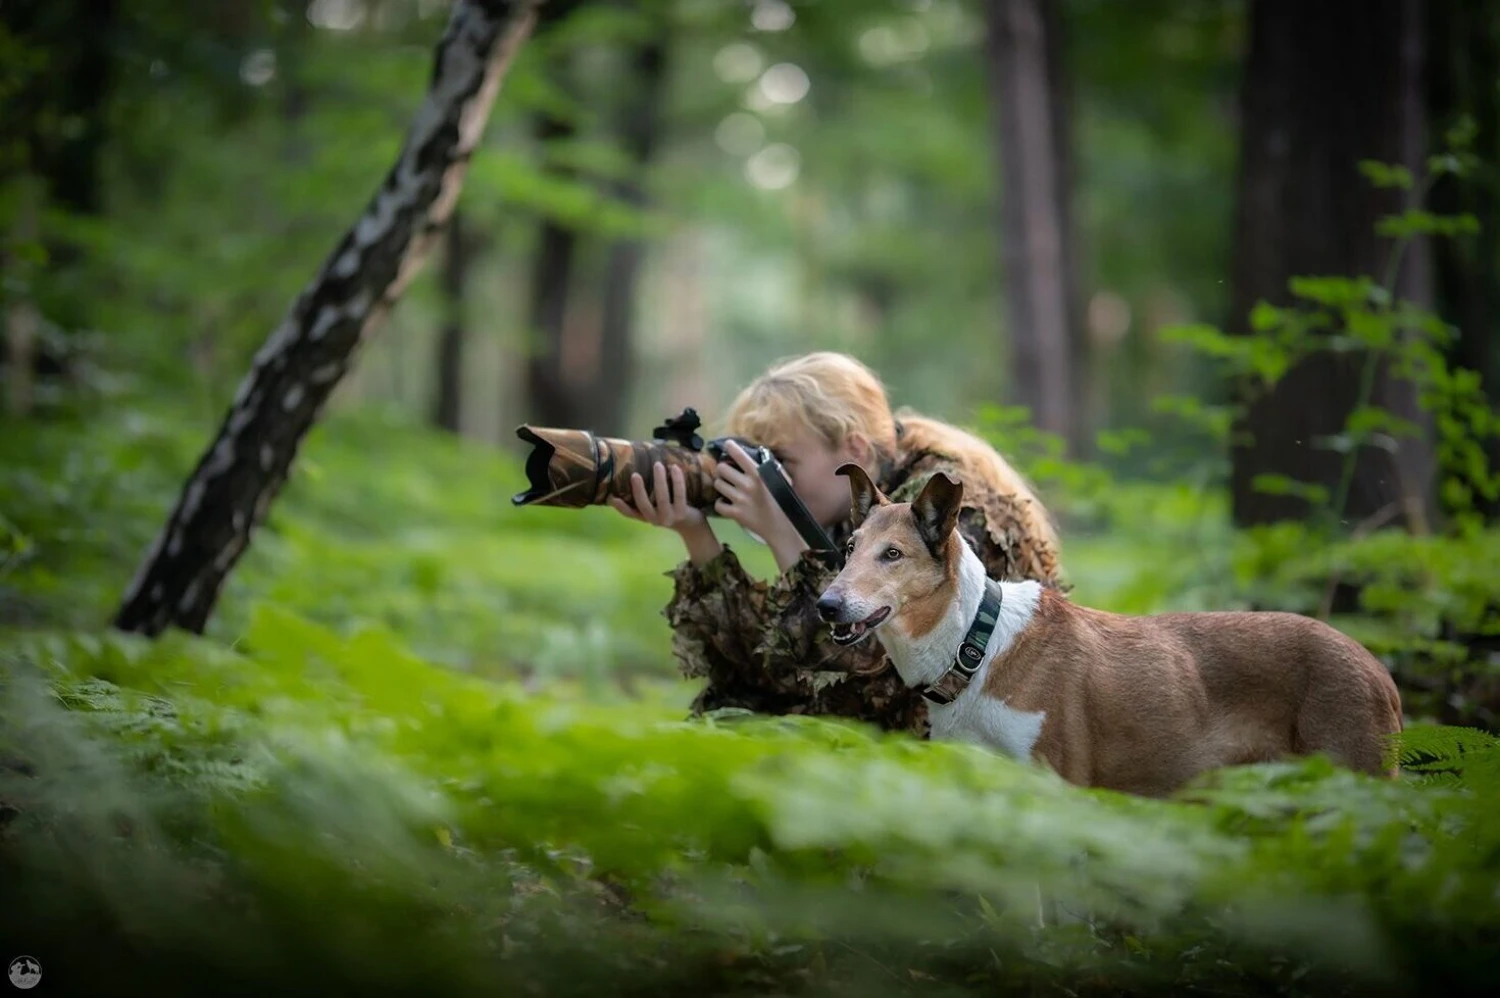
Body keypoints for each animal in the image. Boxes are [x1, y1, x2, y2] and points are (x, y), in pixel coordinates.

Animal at [816, 462, 1398, 792]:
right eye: (849, 549)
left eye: (892, 555)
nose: (826, 605)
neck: (973, 647)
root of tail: (1377, 668)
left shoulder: (1057, 784)